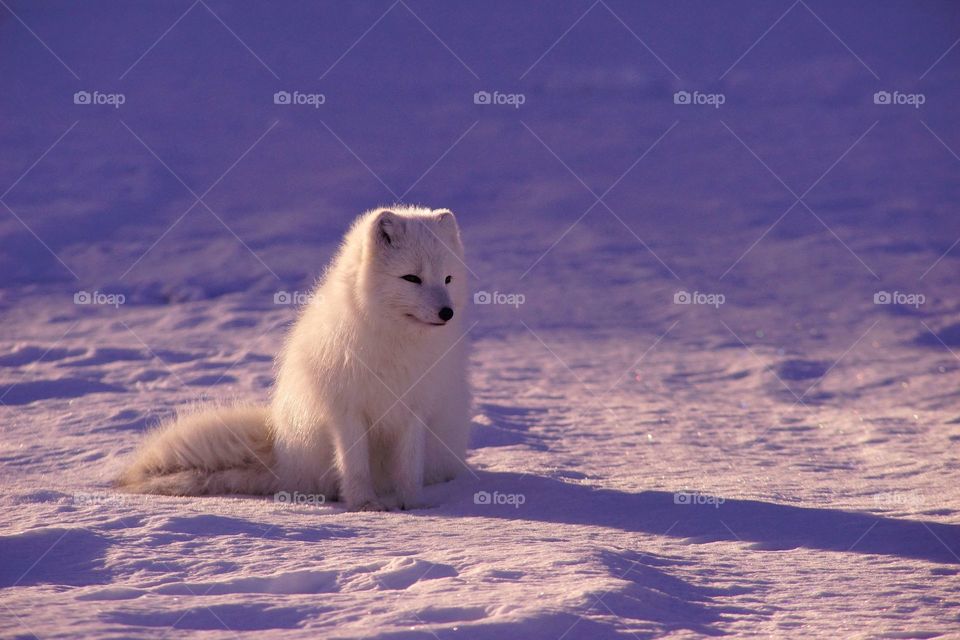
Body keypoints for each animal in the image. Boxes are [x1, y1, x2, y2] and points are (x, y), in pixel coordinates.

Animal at [116, 206, 471, 511]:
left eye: (448, 279)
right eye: (411, 278)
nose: (447, 313)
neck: (395, 341)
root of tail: (282, 458)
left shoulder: (414, 408)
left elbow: (409, 468)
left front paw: (412, 505)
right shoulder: (346, 409)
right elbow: (355, 466)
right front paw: (365, 505)